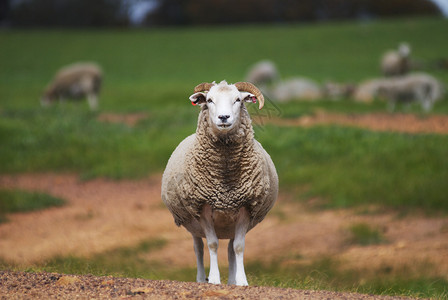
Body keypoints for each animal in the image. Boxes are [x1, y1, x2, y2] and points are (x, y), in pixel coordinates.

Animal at [161, 79, 278, 286]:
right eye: (209, 100)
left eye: (238, 99)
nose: (224, 117)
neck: (225, 177)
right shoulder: (203, 207)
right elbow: (212, 244)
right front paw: (214, 279)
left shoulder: (245, 207)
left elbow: (238, 247)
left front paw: (241, 281)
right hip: (193, 224)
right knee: (198, 248)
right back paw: (201, 279)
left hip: (230, 225)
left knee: (230, 249)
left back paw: (231, 280)